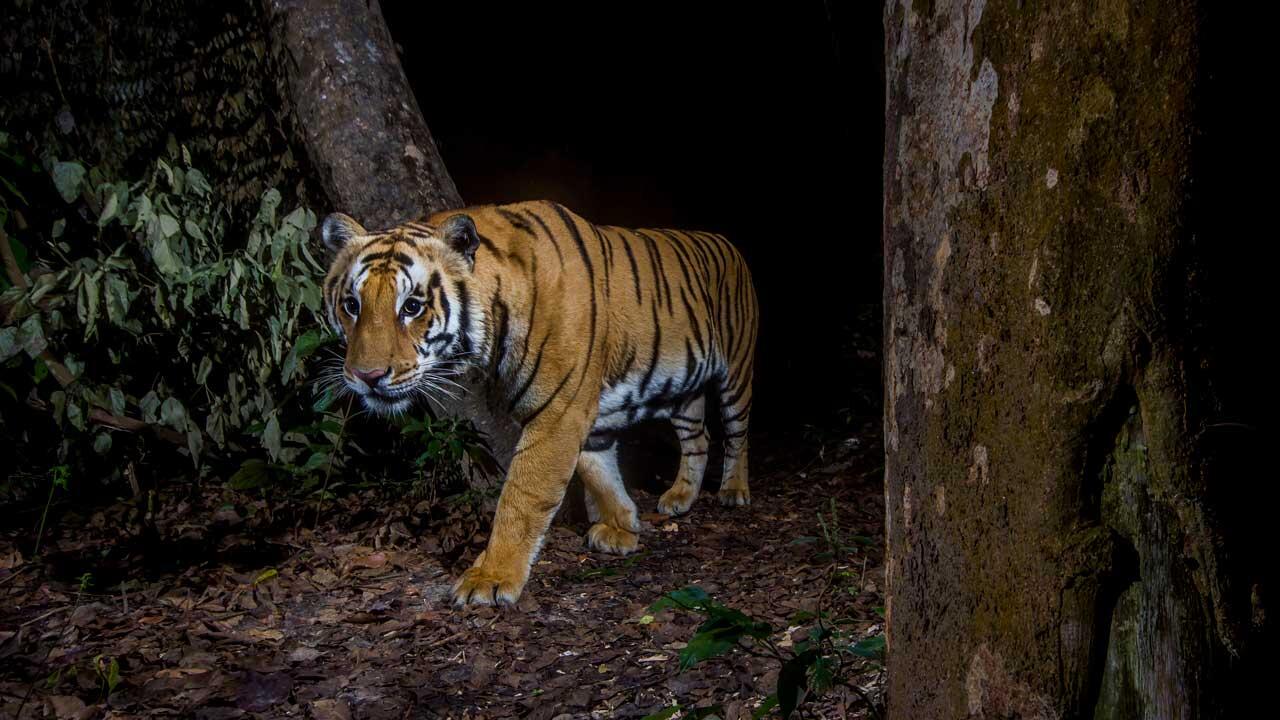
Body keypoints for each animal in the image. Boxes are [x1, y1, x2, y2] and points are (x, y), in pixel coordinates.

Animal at [322, 198, 757, 602]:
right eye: (352, 305)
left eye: (412, 306)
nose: (367, 377)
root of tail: (727, 242)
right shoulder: (582, 414)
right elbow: (598, 469)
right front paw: (622, 525)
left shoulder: (559, 412)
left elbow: (522, 496)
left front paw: (490, 578)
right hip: (683, 391)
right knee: (699, 439)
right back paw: (680, 497)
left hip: (736, 369)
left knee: (737, 433)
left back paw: (733, 492)